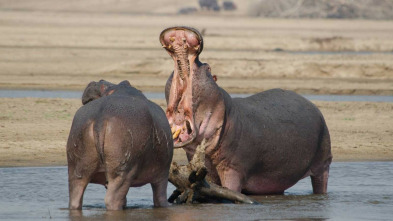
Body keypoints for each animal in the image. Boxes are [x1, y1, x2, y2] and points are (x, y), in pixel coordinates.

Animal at [66, 80, 172, 210]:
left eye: (102, 85)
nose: (96, 81)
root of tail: (101, 117)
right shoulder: (162, 175)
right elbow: (160, 199)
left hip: (77, 168)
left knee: (75, 197)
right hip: (123, 170)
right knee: (112, 200)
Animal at [158, 26, 330, 195]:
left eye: (209, 68)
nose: (180, 34)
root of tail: (313, 105)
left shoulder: (233, 168)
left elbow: (230, 189)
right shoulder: (207, 169)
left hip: (323, 163)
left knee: (321, 180)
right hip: (277, 178)